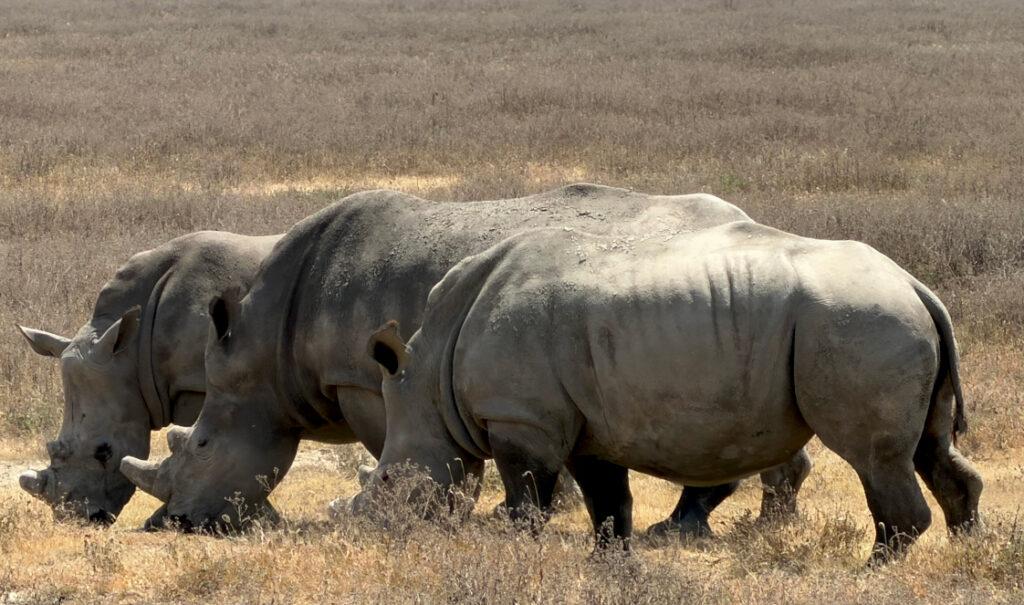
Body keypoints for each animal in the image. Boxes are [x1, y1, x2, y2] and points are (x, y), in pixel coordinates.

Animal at [120, 184, 808, 532]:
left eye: (199, 446)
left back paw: (697, 527)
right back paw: (752, 525)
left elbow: (407, 449)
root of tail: (748, 216)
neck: (266, 349)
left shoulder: (365, 376)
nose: (169, 523)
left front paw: (449, 515)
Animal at [357, 222, 983, 561]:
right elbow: (609, 504)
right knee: (930, 448)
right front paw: (610, 566)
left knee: (875, 459)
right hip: (885, 320)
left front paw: (515, 555)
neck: (431, 374)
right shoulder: (589, 425)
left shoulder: (521, 419)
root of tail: (915, 285)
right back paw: (969, 557)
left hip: (861, 321)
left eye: (386, 482)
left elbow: (526, 504)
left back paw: (874, 569)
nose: (380, 531)